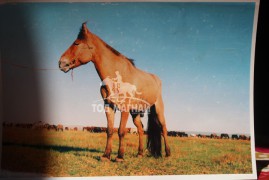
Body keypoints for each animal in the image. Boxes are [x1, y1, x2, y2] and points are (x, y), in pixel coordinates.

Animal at [58, 22, 170, 162]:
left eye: (76, 43)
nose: (61, 63)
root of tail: (157, 79)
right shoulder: (109, 106)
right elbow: (110, 130)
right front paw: (106, 155)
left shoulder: (125, 109)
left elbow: (121, 131)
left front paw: (120, 157)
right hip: (135, 113)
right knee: (140, 129)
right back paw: (140, 153)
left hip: (158, 109)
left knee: (163, 129)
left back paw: (167, 153)